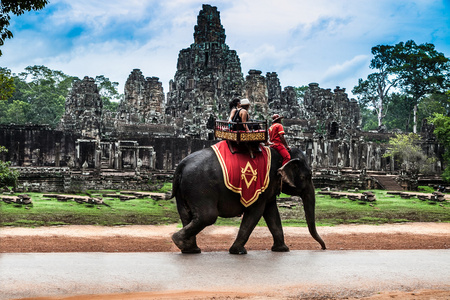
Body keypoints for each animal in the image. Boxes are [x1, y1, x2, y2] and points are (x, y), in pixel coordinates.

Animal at [171, 144, 326, 254]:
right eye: (307, 176)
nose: (323, 248)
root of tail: (181, 165)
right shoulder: (263, 186)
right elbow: (256, 212)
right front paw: (238, 251)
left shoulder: (269, 188)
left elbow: (271, 213)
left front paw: (282, 249)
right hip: (200, 188)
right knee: (207, 216)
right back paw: (179, 241)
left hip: (185, 191)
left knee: (187, 215)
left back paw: (190, 250)